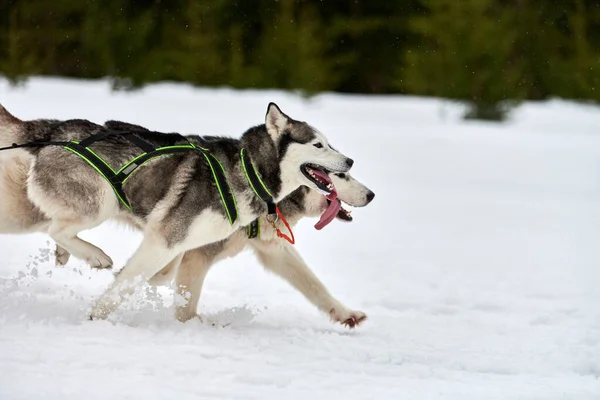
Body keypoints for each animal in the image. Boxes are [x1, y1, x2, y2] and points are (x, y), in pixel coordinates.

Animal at [0, 102, 372, 324]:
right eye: (318, 145)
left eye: (330, 144)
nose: (351, 161)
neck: (249, 170)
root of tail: (54, 129)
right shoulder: (169, 241)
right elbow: (129, 285)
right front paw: (97, 320)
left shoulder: (190, 246)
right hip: (98, 203)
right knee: (56, 229)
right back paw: (94, 255)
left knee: (54, 228)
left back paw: (70, 254)